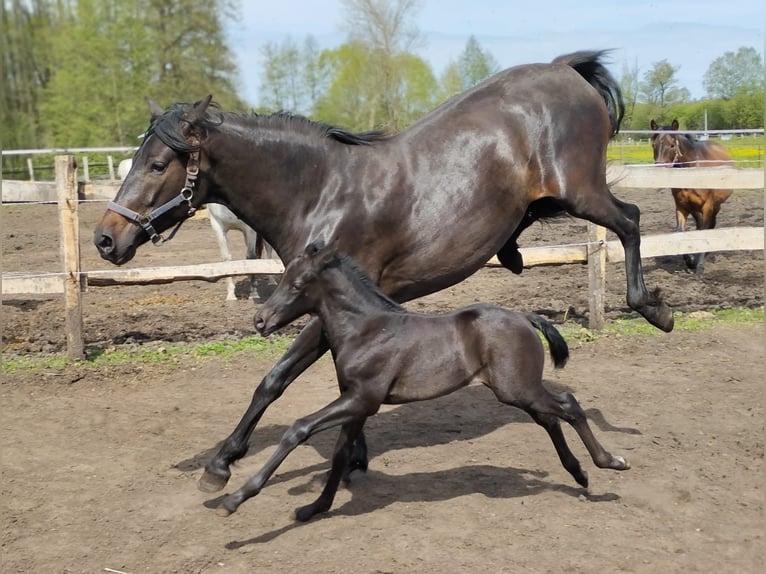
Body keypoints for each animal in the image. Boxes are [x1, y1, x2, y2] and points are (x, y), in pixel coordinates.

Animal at [118, 158, 280, 302]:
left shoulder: (249, 230)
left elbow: (251, 257)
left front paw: (254, 293)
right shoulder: (218, 226)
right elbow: (226, 259)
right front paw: (230, 295)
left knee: (268, 251)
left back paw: (271, 279)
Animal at [213, 243, 628, 520]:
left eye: (298, 284)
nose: (260, 321)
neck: (366, 329)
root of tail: (526, 317)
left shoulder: (362, 399)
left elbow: (298, 429)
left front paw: (235, 498)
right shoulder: (356, 404)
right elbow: (340, 454)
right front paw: (315, 507)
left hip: (517, 388)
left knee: (568, 404)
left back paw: (611, 461)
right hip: (517, 391)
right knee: (551, 417)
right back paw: (580, 473)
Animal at [652, 118, 736, 274]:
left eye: (672, 145)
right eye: (653, 145)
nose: (659, 171)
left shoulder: (707, 206)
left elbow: (703, 230)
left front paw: (699, 265)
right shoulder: (682, 207)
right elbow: (681, 233)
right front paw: (690, 261)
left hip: (715, 206)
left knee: (709, 226)